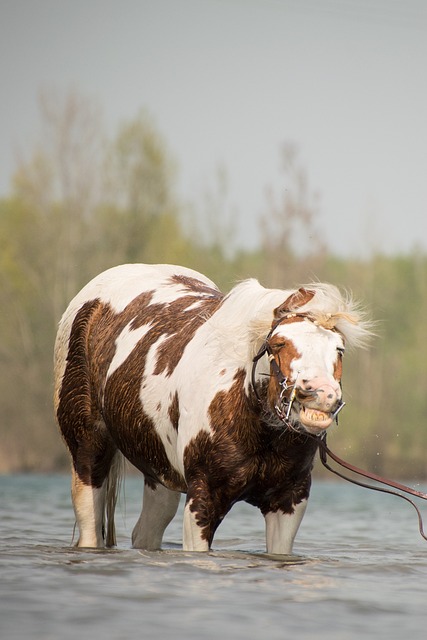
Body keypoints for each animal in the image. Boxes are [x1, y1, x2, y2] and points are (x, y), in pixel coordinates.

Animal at [54, 264, 372, 556]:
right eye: (278, 343)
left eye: (339, 348)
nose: (320, 395)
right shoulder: (203, 499)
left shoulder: (288, 502)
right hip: (89, 454)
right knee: (90, 527)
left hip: (160, 473)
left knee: (145, 532)